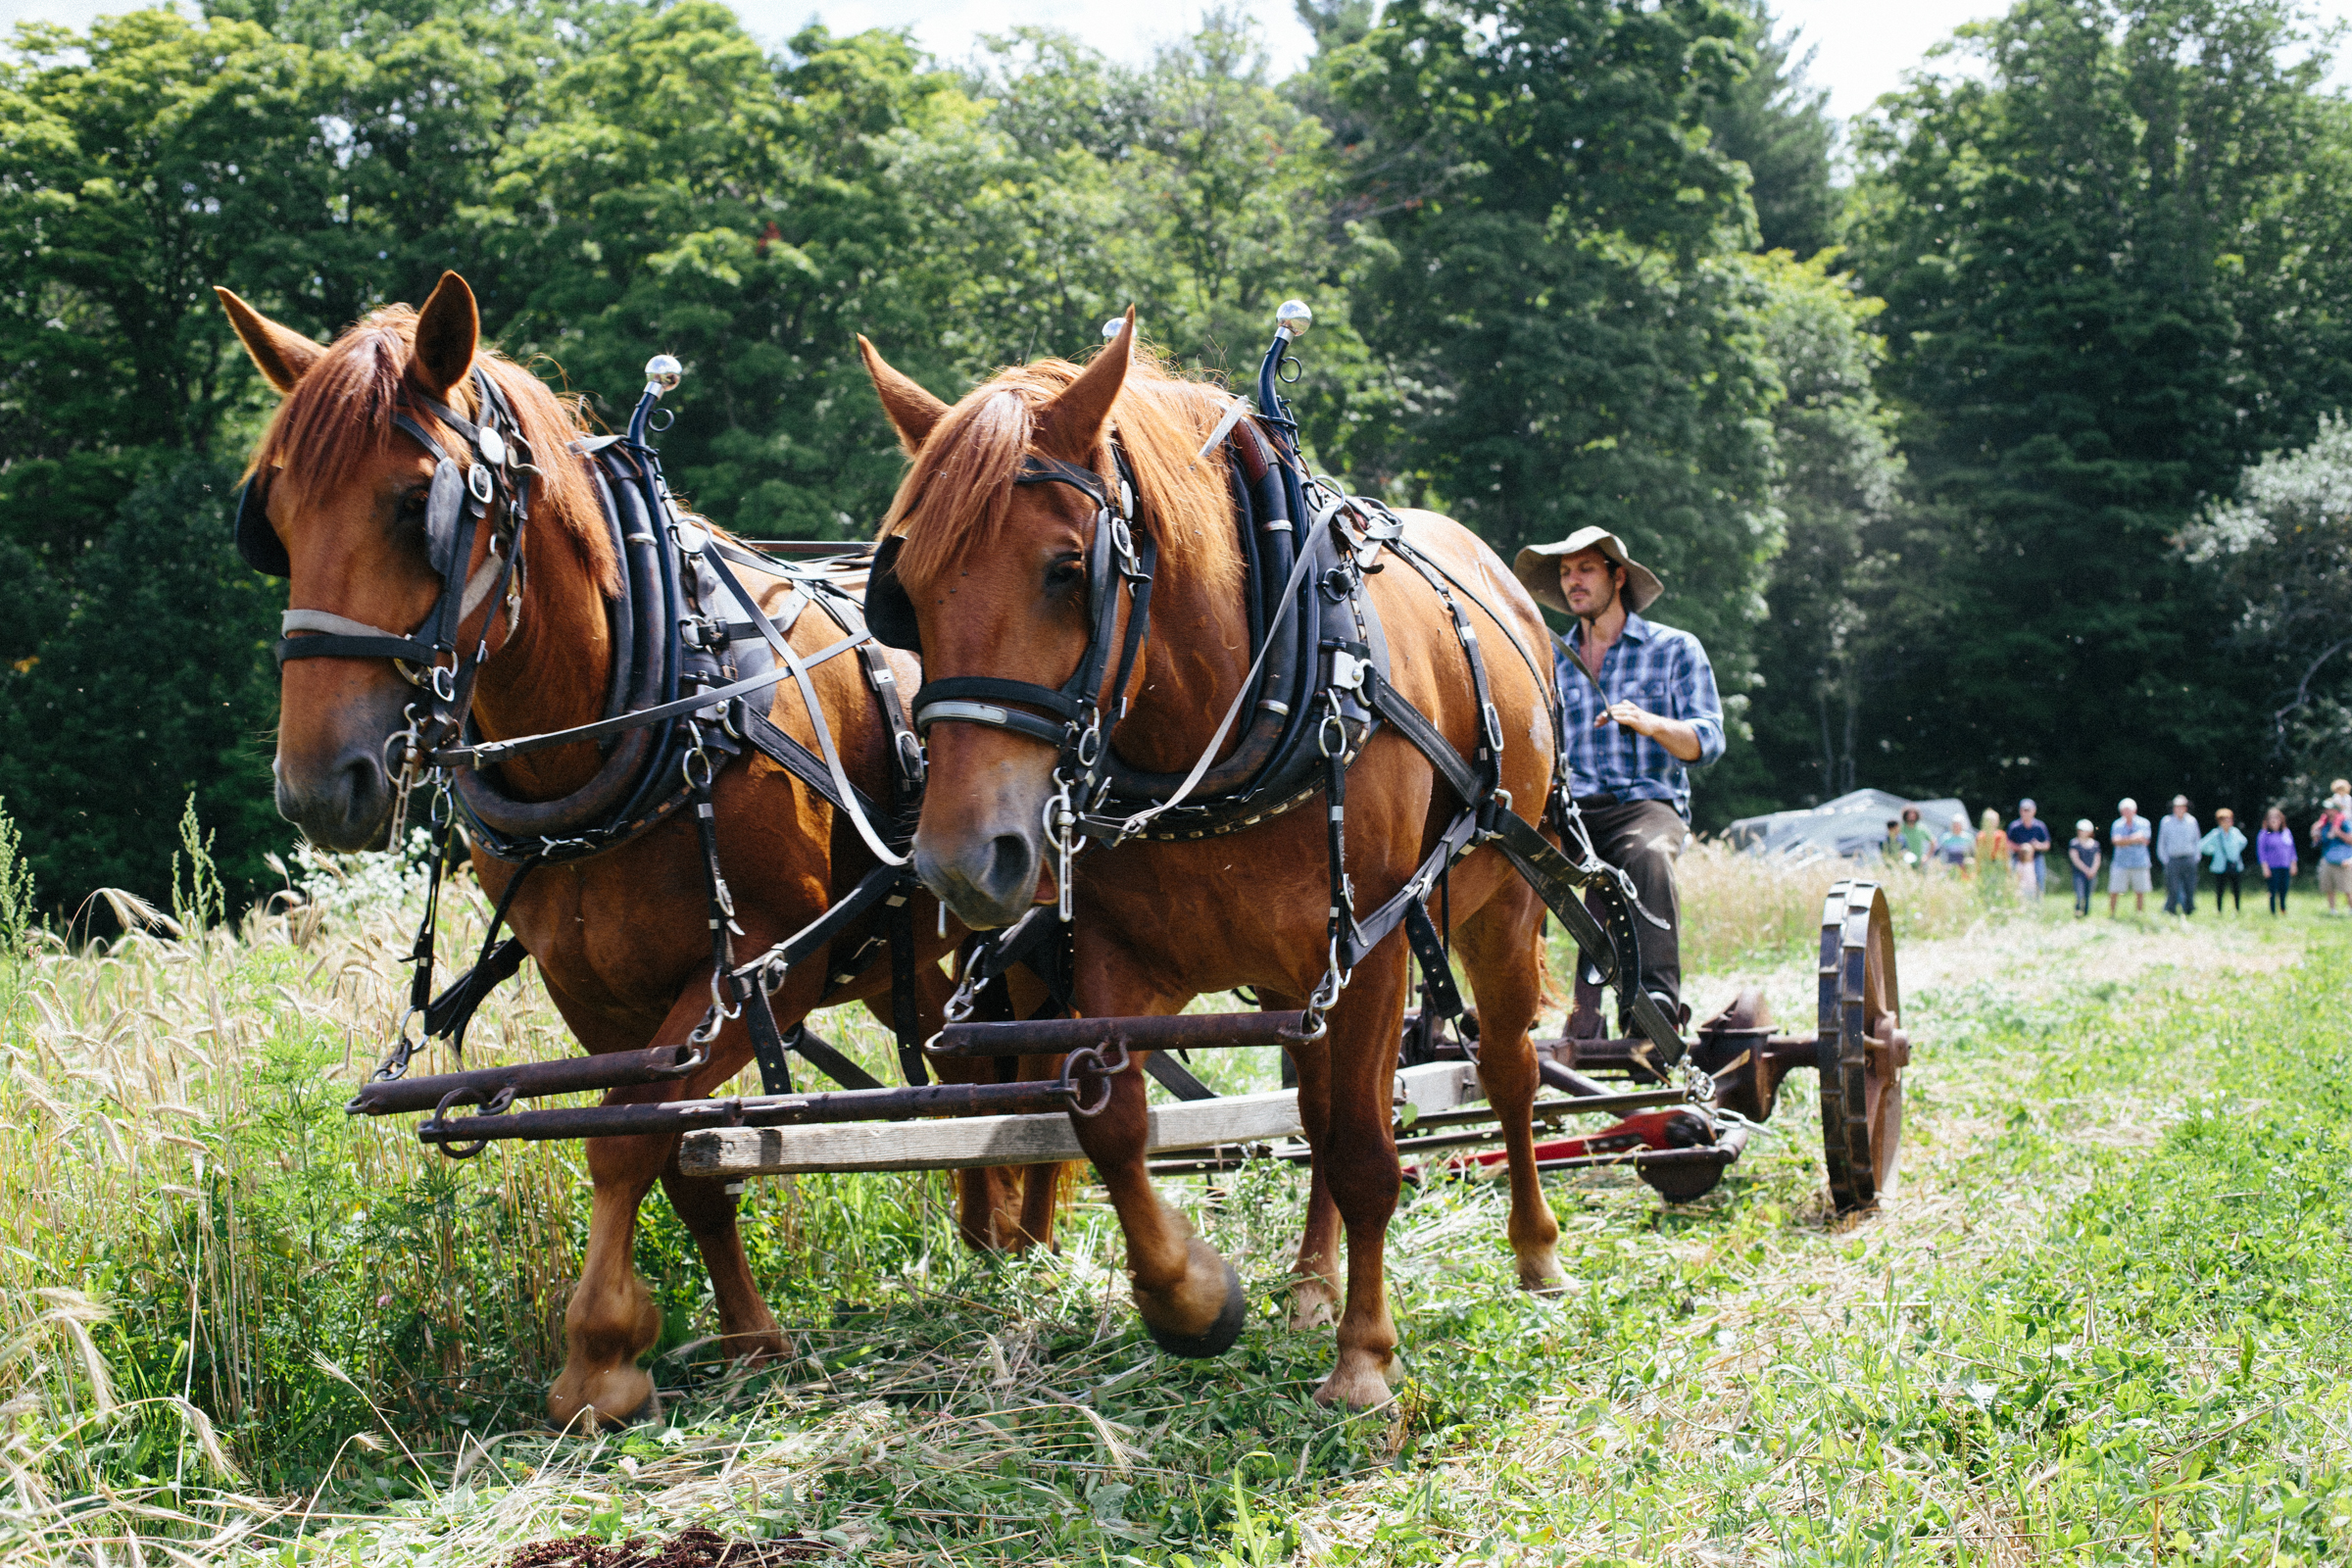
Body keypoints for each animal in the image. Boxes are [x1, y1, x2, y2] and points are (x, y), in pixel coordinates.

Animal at [220, 275, 1067, 1429]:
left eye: (412, 506)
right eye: (273, 520)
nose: (317, 785)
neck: (657, 698)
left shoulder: (766, 965)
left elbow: (629, 1136)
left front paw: (602, 1357)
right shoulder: (598, 994)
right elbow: (687, 1162)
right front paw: (749, 1338)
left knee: (1054, 1057)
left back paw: (1036, 1237)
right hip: (921, 947)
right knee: (959, 1060)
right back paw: (987, 1236)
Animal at [860, 315, 1561, 1410]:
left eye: (1068, 568)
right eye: (908, 594)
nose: (964, 859)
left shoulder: (1371, 947)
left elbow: (1368, 1149)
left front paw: (1366, 1360)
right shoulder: (1117, 960)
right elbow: (1112, 1125)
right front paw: (1192, 1296)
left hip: (1499, 909)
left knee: (1505, 1067)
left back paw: (1533, 1251)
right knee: (1317, 1102)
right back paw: (1311, 1281)